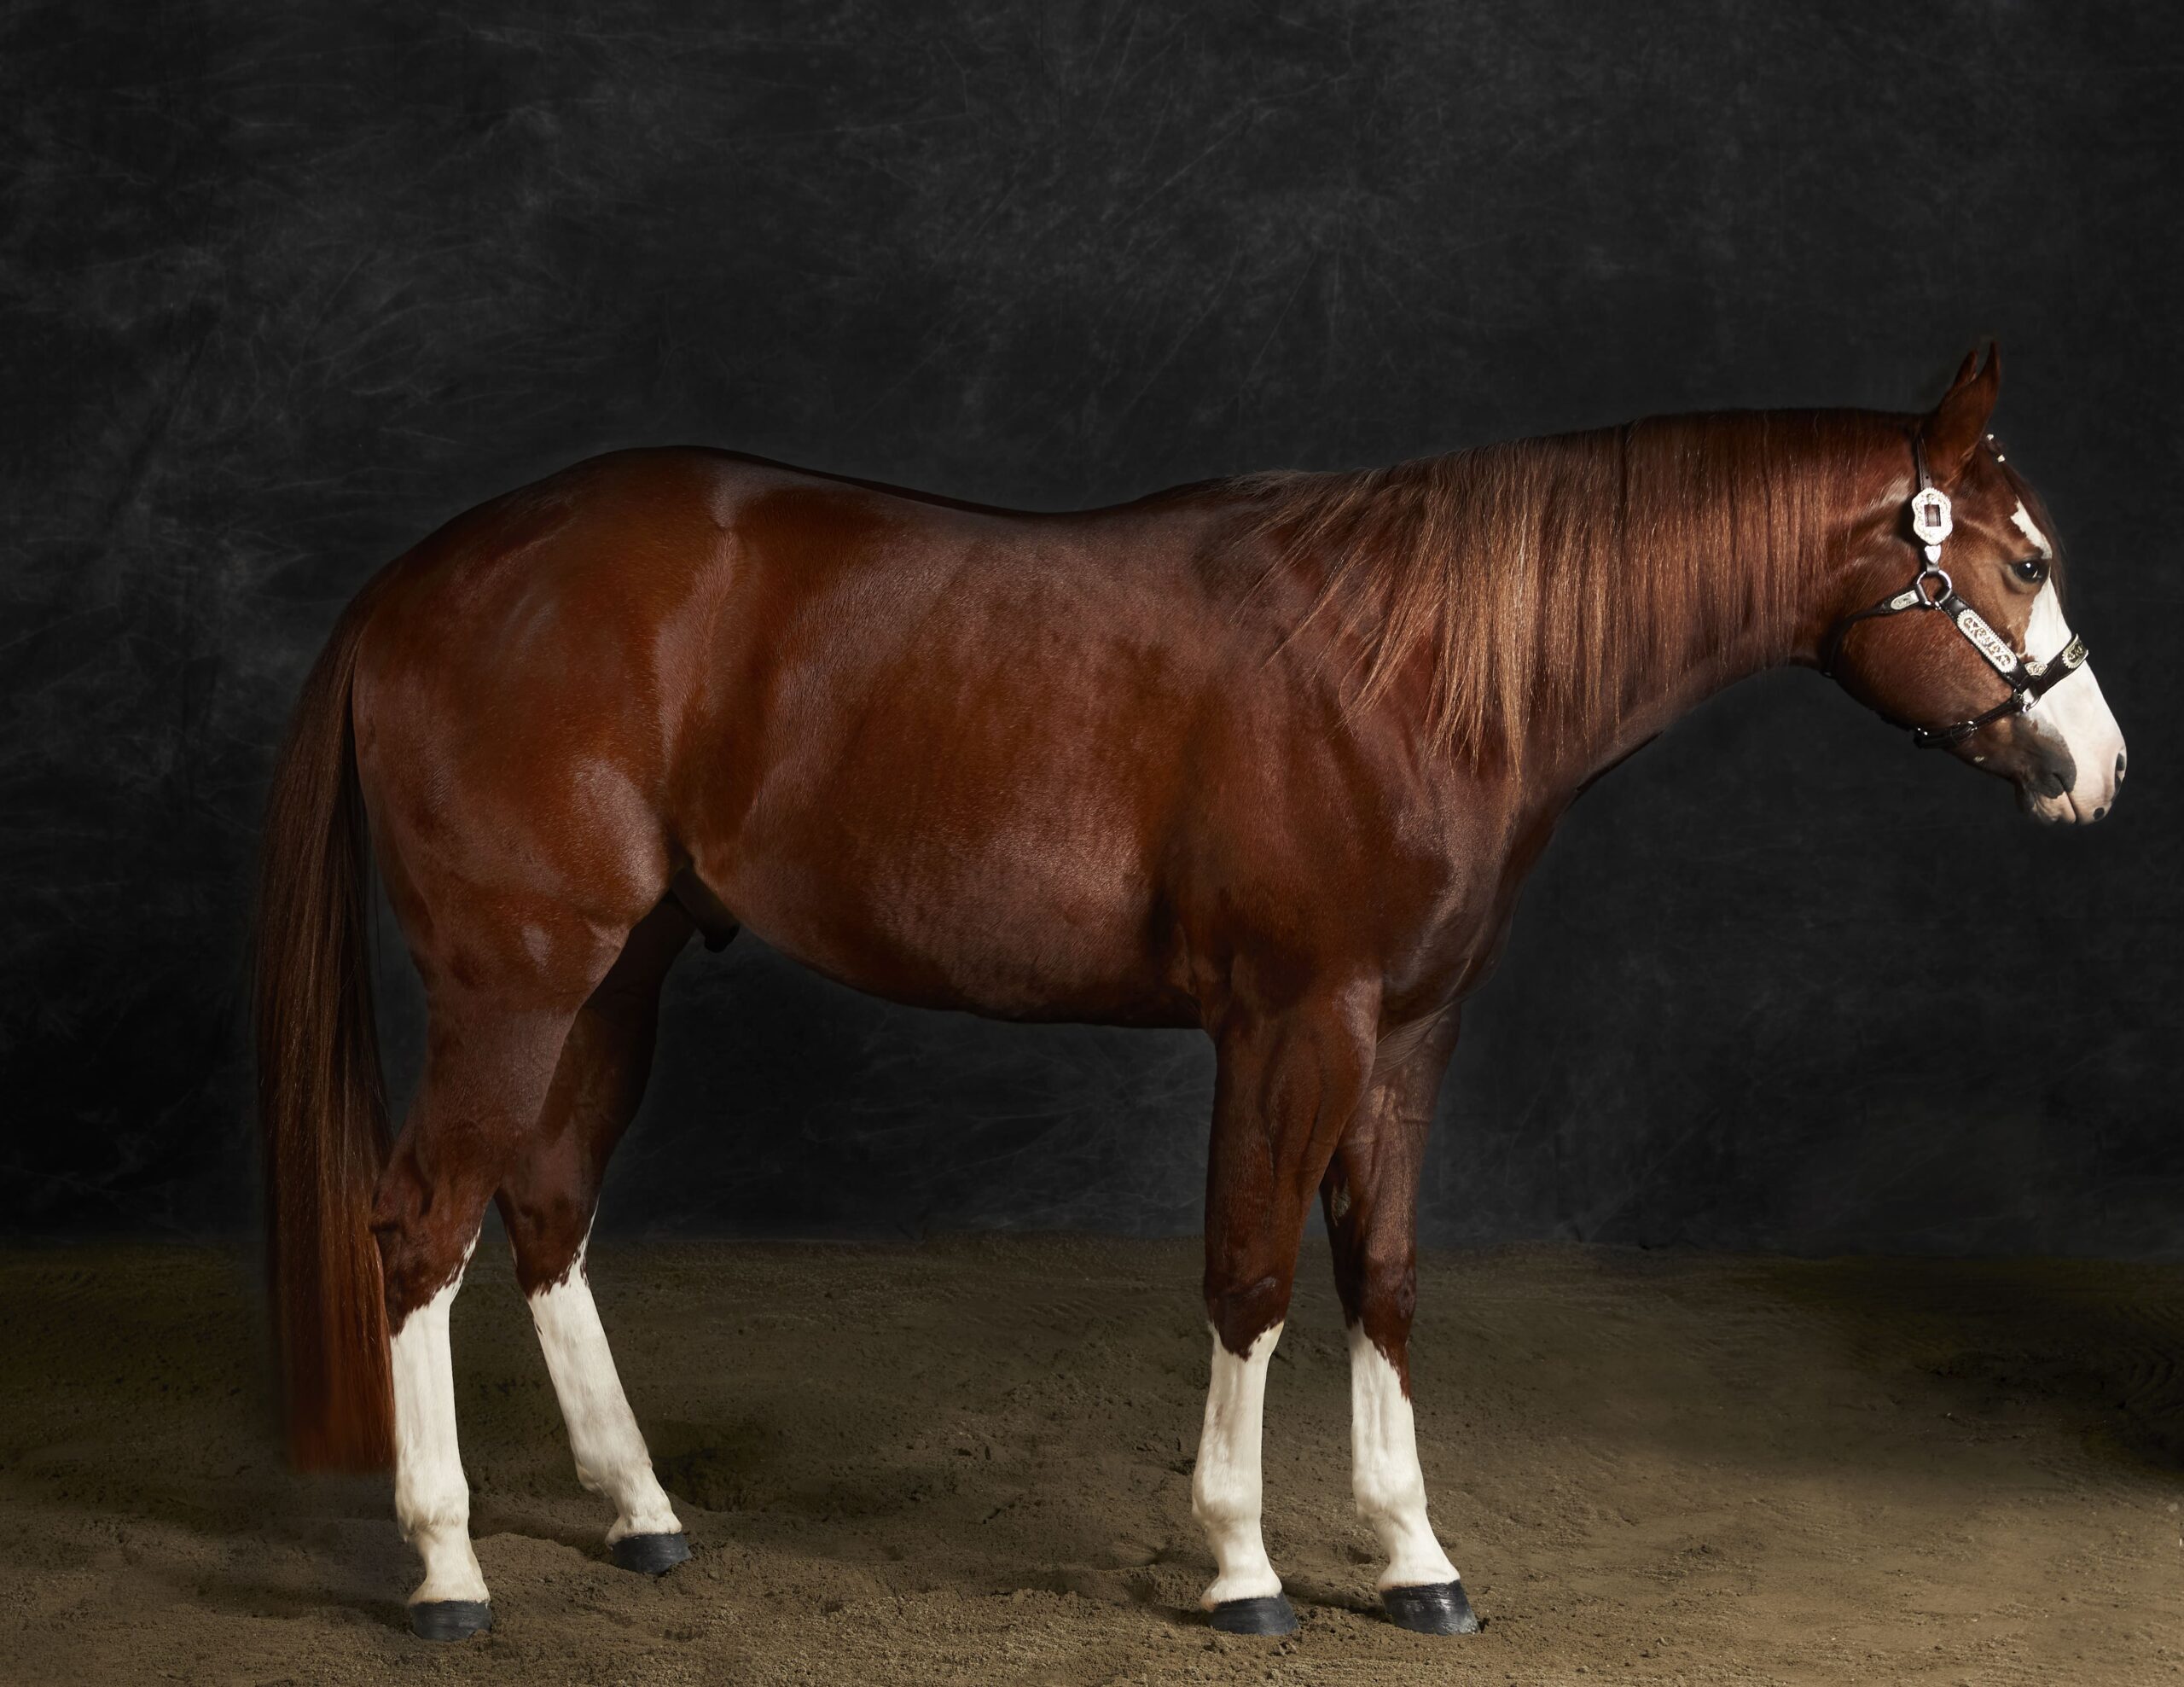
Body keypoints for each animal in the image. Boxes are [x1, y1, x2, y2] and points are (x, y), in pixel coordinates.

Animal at [255, 345, 2124, 1642]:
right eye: (2023, 560)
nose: (2097, 769)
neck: (1413, 669)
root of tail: (420, 583)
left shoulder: (1411, 1031)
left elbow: (1382, 1276)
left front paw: (1416, 1556)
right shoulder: (1294, 1022)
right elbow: (1249, 1278)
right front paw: (1241, 1564)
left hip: (618, 976)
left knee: (546, 1208)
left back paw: (640, 1509)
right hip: (516, 977)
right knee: (422, 1223)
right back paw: (444, 1568)